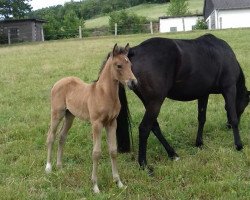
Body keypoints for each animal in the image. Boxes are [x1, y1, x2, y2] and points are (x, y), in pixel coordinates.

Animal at [45, 44, 137, 194]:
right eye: (119, 65)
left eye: (130, 64)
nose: (133, 83)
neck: (104, 94)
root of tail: (58, 82)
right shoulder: (97, 124)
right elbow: (96, 153)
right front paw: (95, 186)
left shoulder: (112, 123)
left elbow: (113, 151)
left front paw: (119, 183)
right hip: (57, 114)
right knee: (51, 136)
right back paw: (48, 167)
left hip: (69, 116)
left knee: (62, 137)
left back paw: (60, 166)